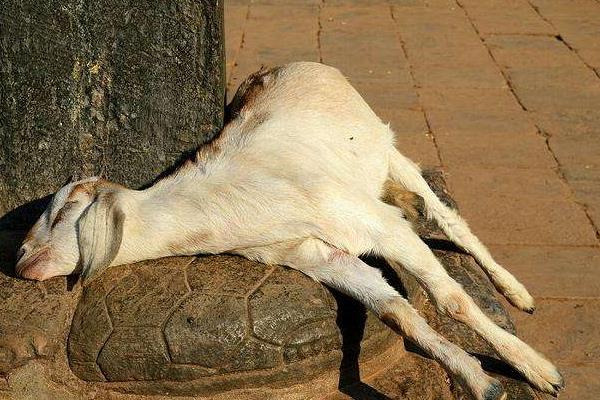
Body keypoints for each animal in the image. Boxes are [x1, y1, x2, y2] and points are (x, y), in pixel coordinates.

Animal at [16, 61, 564, 398]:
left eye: (64, 213)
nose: (21, 261)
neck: (230, 201)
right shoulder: (310, 254)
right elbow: (395, 312)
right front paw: (480, 382)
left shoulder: (373, 224)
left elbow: (450, 299)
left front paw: (538, 372)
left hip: (385, 147)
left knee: (448, 218)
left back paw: (518, 294)